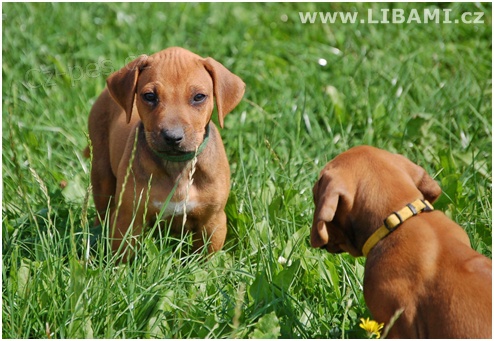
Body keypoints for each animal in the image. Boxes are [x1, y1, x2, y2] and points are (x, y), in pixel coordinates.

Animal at [88, 46, 246, 260]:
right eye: (149, 96)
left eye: (199, 97)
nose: (172, 137)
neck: (176, 165)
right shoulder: (128, 218)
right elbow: (123, 256)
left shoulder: (213, 221)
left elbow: (204, 259)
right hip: (101, 172)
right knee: (102, 210)